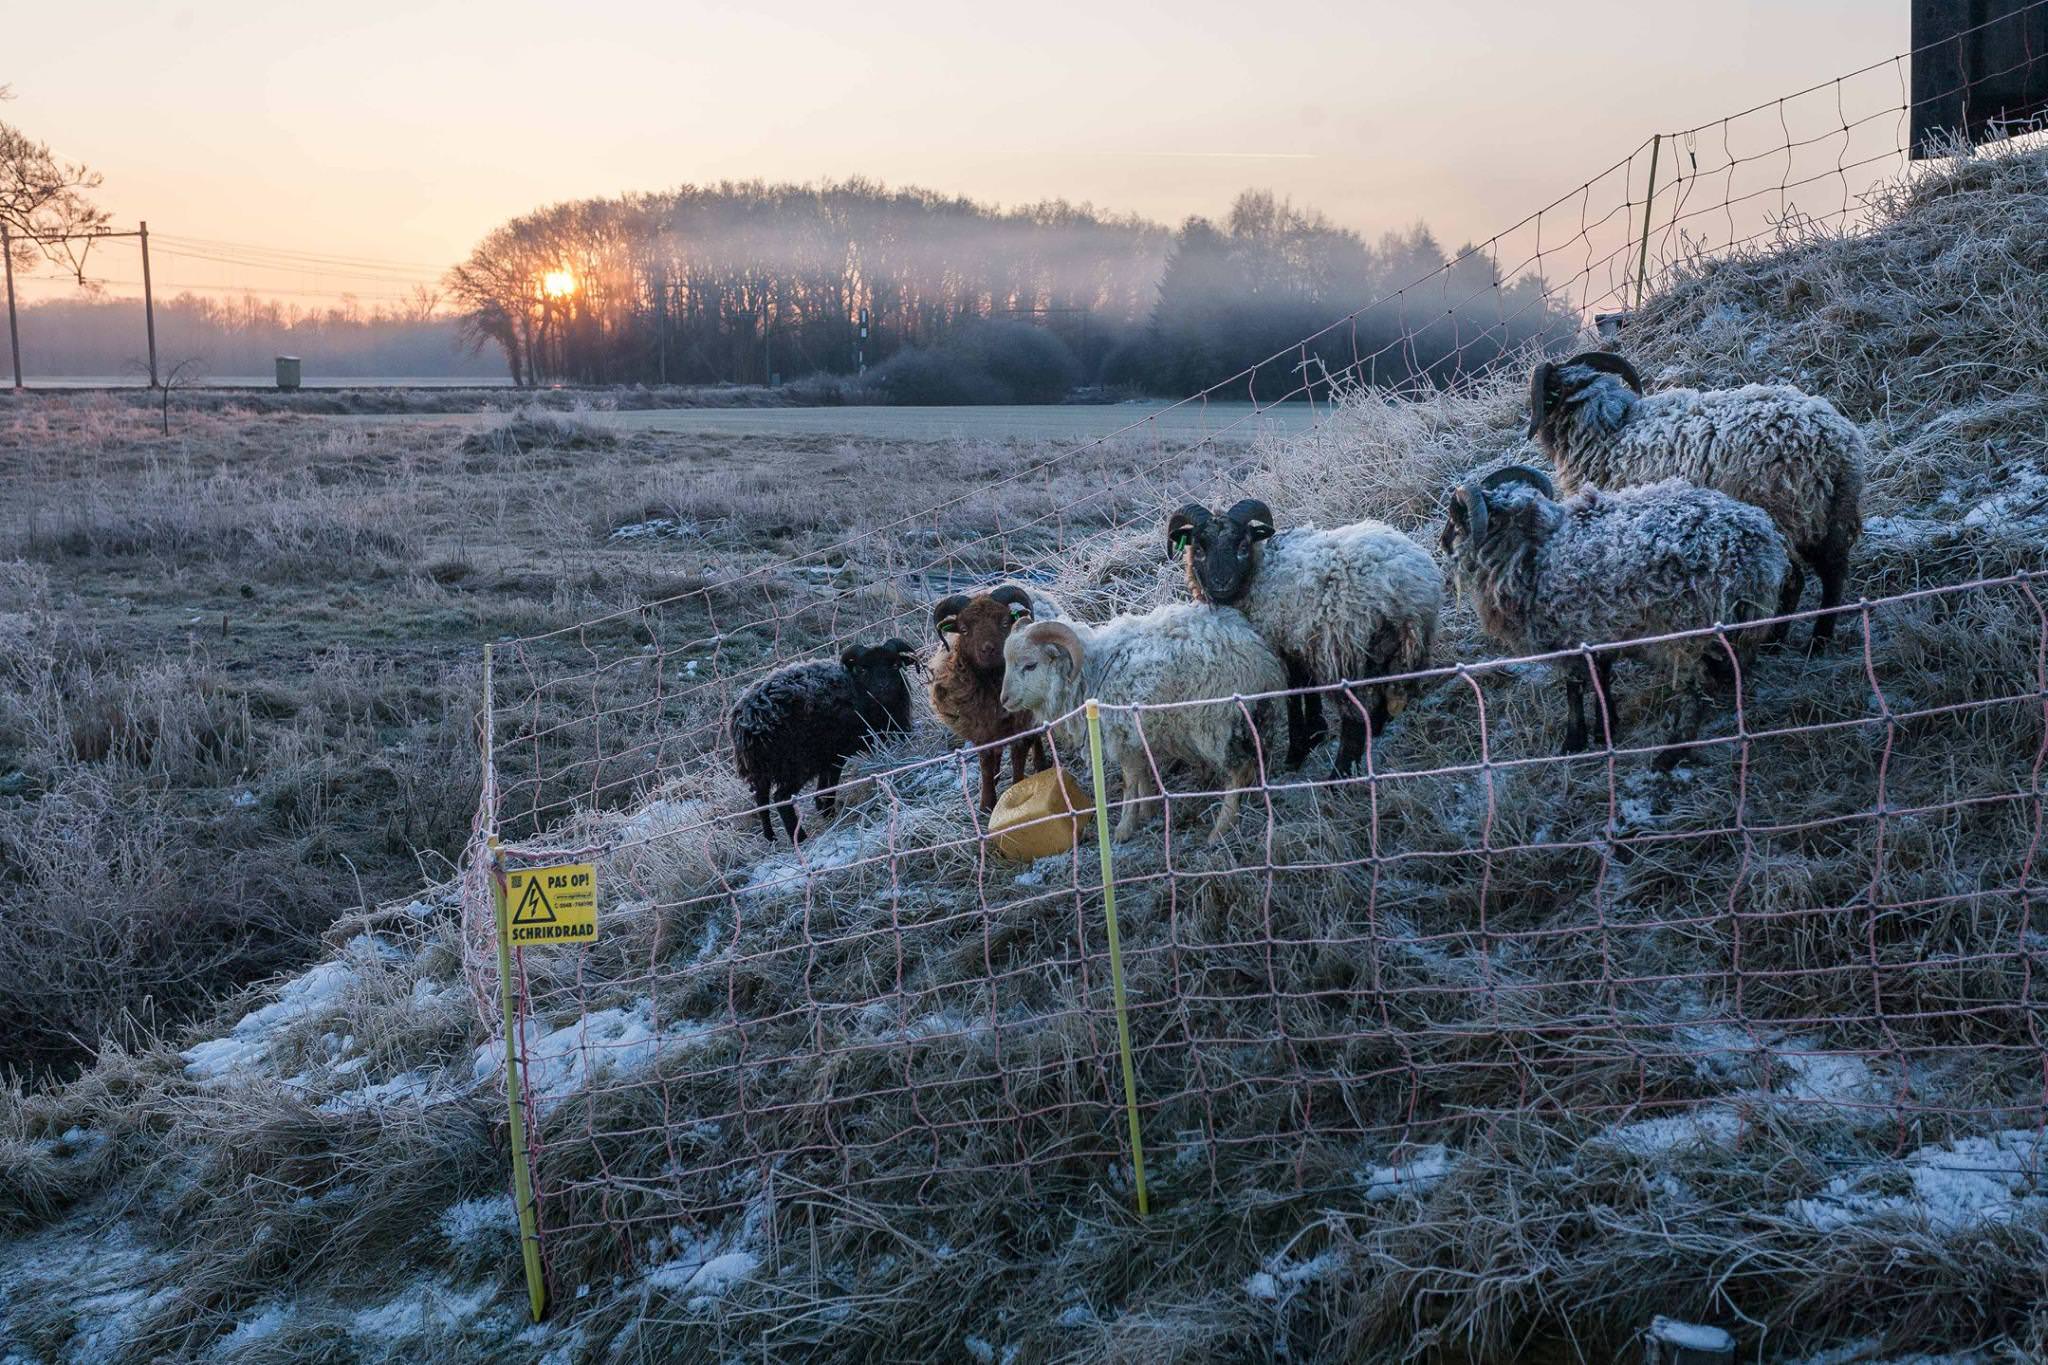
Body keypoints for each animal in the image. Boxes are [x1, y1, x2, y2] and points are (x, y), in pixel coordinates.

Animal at [999, 605, 1286, 843]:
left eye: (1030, 665)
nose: (1004, 700)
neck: (1091, 673)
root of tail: (1260, 657)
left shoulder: (1120, 734)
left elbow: (1130, 783)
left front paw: (1124, 829)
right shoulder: (1135, 735)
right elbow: (1143, 773)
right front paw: (1148, 811)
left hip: (1215, 720)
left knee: (1238, 770)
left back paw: (1221, 829)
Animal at [1171, 501, 1441, 777]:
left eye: (1243, 547)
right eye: (1199, 549)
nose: (1221, 583)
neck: (1260, 570)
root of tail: (1402, 588)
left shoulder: (1281, 643)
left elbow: (1294, 692)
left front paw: (1297, 751)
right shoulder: (1300, 639)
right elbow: (1308, 687)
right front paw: (1315, 733)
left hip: (1342, 649)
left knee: (1354, 715)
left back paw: (1339, 774)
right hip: (1399, 646)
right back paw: (1376, 729)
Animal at [1441, 466, 1794, 769]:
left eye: (1456, 517)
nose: (1442, 543)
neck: (1534, 545)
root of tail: (1759, 550)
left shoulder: (1566, 636)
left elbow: (1575, 688)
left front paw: (1574, 741)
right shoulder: (1600, 630)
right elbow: (1603, 678)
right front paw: (1605, 727)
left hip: (1686, 632)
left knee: (1695, 692)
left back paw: (1669, 756)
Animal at [1531, 351, 1867, 650]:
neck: (1607, 431)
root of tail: (1835, 442)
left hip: (1785, 514)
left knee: (1794, 579)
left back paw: (1777, 640)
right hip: (1825, 515)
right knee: (1834, 571)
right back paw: (1819, 639)